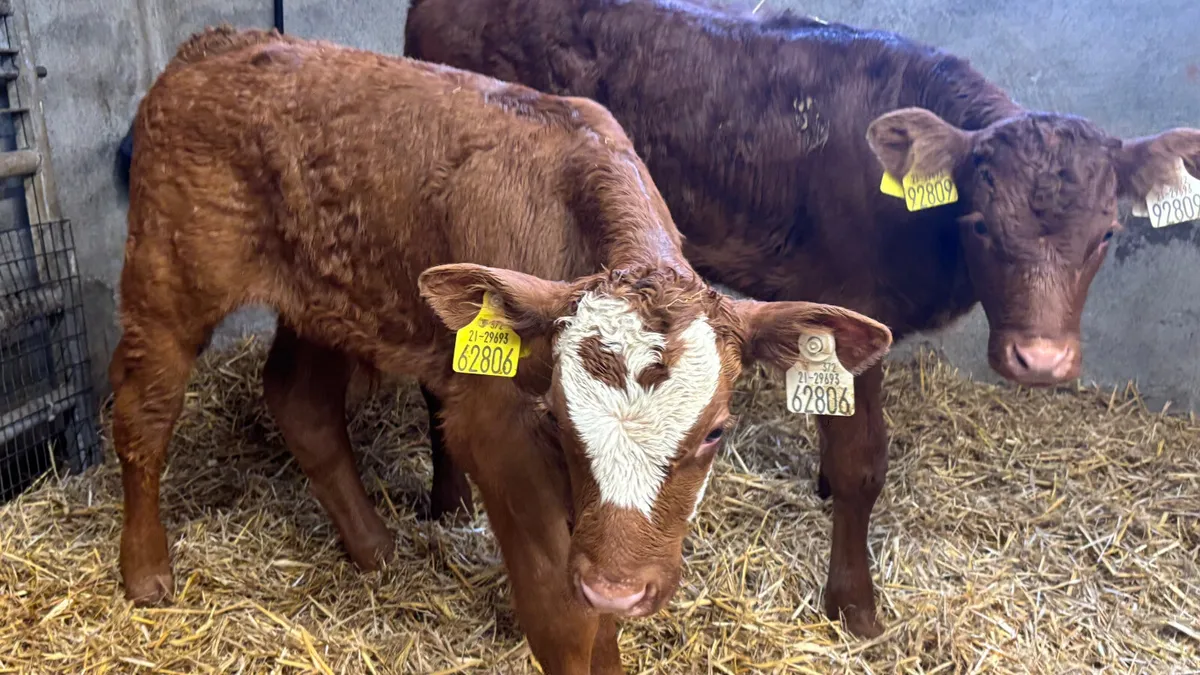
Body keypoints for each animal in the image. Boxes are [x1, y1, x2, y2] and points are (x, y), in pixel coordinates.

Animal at [112, 26, 893, 673]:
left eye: (716, 431)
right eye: (557, 415)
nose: (621, 586)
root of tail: (217, 43)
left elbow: (596, 614)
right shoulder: (496, 429)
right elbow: (564, 615)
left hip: (325, 293)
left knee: (301, 403)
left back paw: (374, 549)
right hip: (167, 275)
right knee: (143, 412)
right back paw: (146, 571)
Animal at [403, 0, 1200, 637]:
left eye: (1106, 234)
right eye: (979, 224)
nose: (1042, 361)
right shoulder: (855, 298)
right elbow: (862, 462)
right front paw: (855, 604)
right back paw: (448, 500)